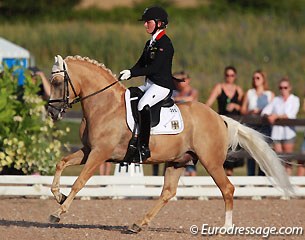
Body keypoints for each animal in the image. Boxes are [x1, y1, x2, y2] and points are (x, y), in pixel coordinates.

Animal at [47, 55, 292, 233]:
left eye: (58, 82)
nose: (51, 112)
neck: (105, 105)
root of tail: (219, 118)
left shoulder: (99, 153)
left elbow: (79, 182)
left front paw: (58, 212)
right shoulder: (89, 150)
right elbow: (61, 163)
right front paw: (59, 196)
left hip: (211, 162)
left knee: (228, 189)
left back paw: (225, 229)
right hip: (178, 161)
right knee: (167, 192)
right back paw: (138, 224)